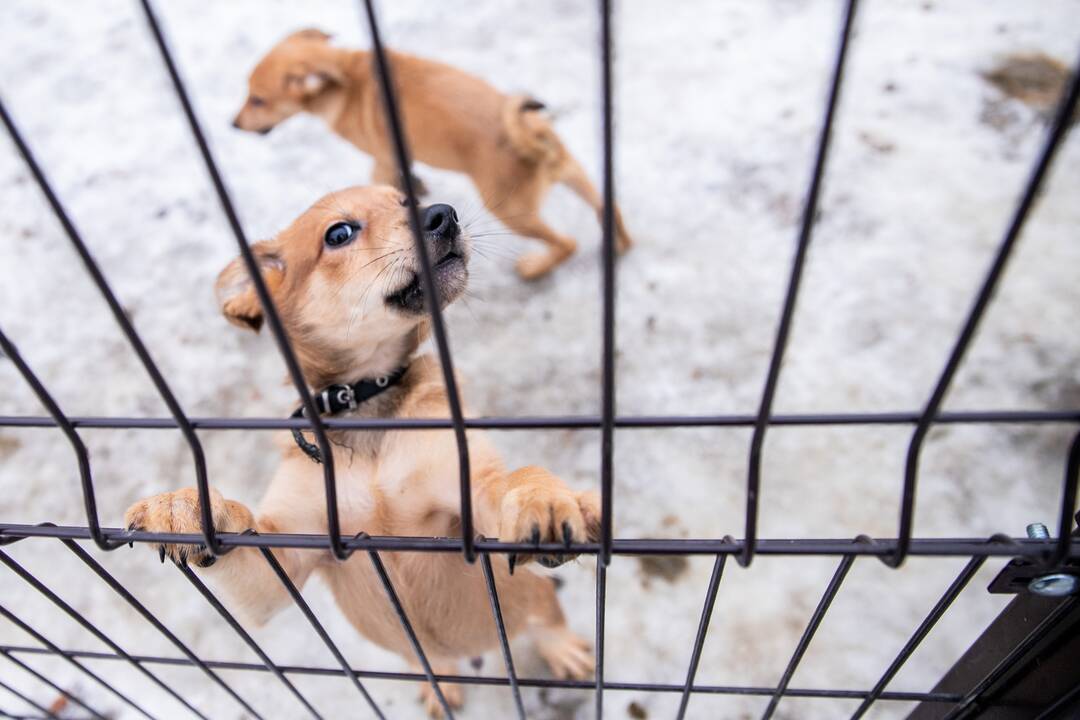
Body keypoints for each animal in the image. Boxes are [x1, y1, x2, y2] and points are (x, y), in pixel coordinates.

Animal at [125, 187, 604, 720]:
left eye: (404, 199)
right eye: (339, 233)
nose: (443, 215)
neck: (364, 401)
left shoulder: (469, 503)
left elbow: (512, 481)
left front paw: (543, 498)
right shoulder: (285, 561)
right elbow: (239, 528)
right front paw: (184, 506)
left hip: (533, 597)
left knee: (547, 620)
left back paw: (564, 650)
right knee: (431, 662)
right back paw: (441, 684)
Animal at [228, 28, 630, 280]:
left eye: (258, 100)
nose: (234, 124)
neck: (345, 76)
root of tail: (530, 134)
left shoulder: (382, 158)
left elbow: (380, 179)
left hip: (511, 211)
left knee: (567, 243)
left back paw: (537, 266)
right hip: (575, 174)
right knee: (607, 206)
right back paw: (619, 246)